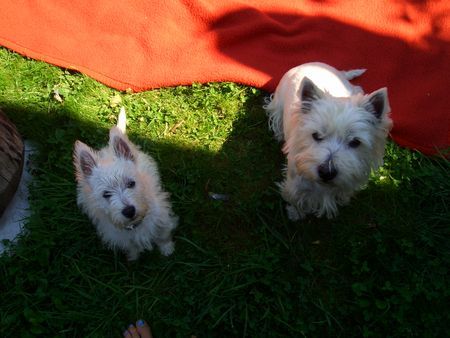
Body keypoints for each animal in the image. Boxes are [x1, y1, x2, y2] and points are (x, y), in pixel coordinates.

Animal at [74, 109, 178, 262]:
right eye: (106, 194)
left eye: (131, 183)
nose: (129, 211)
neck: (135, 224)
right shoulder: (120, 237)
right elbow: (131, 247)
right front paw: (133, 258)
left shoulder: (162, 220)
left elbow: (163, 236)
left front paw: (167, 249)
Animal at [266, 62, 392, 219]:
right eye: (316, 135)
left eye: (355, 142)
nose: (327, 172)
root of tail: (311, 63)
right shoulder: (296, 180)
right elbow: (295, 197)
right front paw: (295, 213)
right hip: (277, 104)